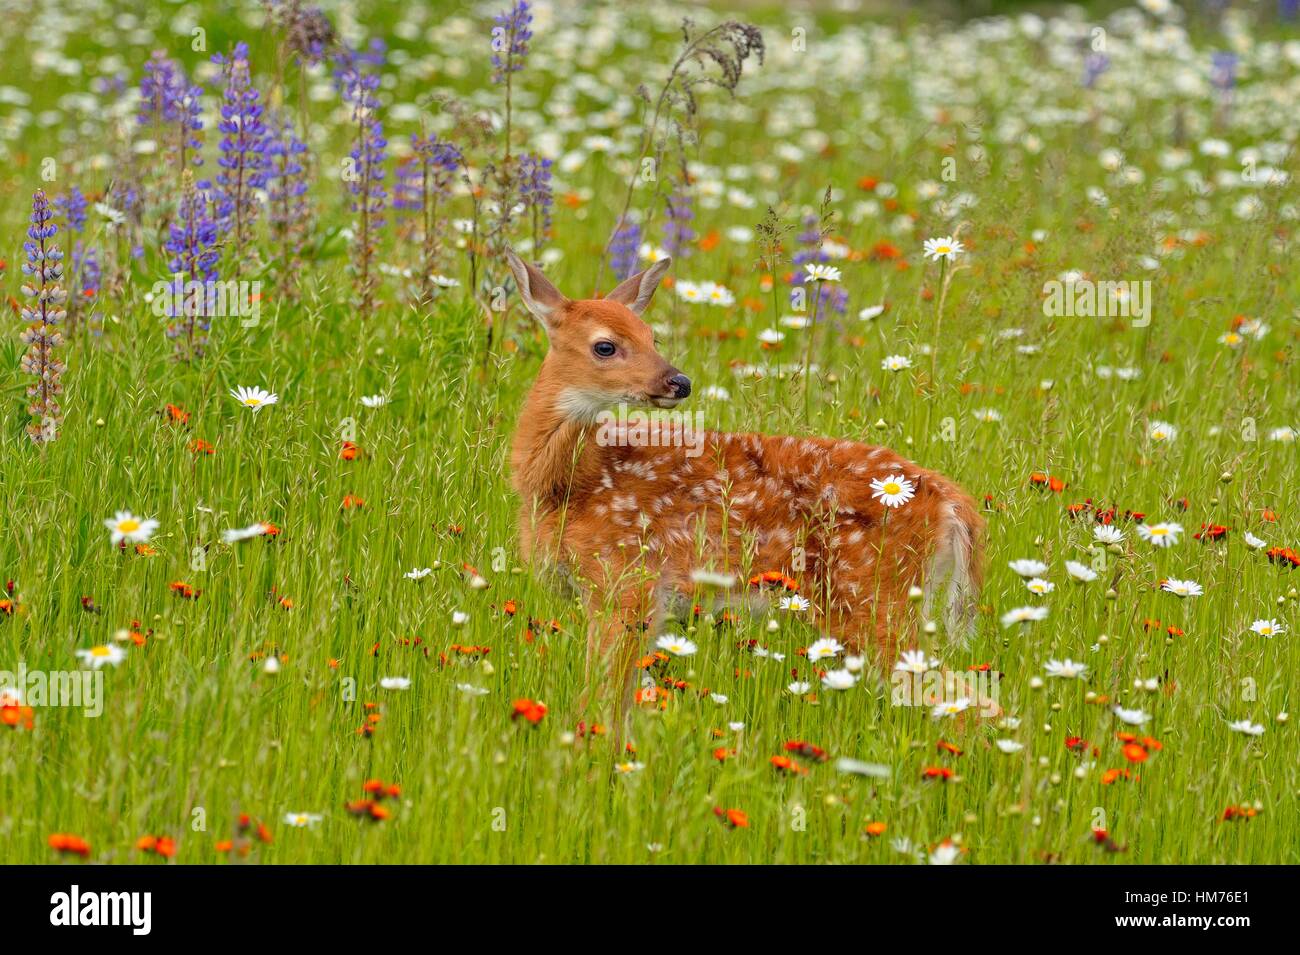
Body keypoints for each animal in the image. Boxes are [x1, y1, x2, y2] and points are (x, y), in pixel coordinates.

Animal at [504, 249, 985, 744]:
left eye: (651, 336)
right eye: (606, 346)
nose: (679, 382)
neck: (568, 485)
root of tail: (952, 501)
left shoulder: (626, 585)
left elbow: (600, 700)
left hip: (872, 599)